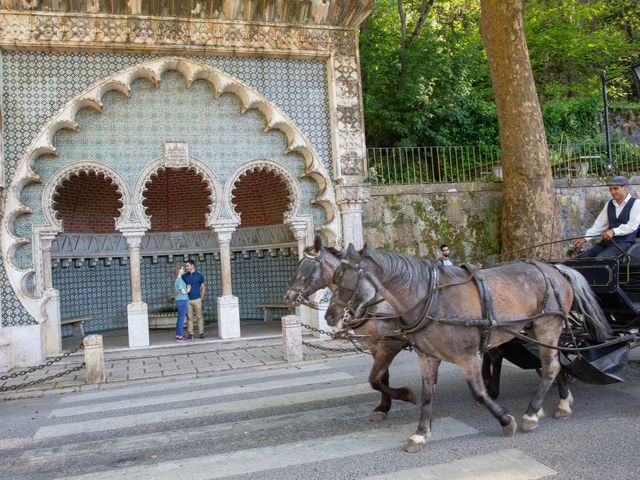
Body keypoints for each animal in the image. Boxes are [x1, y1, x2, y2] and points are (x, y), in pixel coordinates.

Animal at [284, 240, 416, 420]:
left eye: (306, 268)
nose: (287, 297)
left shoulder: (391, 344)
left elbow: (376, 379)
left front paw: (404, 394)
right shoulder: (375, 346)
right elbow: (381, 377)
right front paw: (383, 407)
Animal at [324, 246, 608, 452]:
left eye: (345, 280)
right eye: (333, 279)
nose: (330, 316)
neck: (430, 300)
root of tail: (554, 268)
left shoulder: (467, 357)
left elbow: (479, 391)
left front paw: (506, 420)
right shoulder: (427, 357)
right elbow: (427, 395)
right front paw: (420, 434)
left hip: (547, 325)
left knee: (550, 367)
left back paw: (531, 414)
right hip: (536, 331)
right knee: (555, 364)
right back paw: (562, 402)